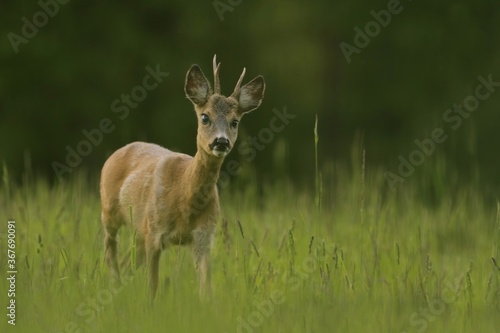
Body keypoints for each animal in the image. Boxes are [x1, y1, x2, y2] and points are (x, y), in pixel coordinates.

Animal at [100, 55, 268, 298]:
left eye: (235, 121)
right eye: (205, 117)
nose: (221, 141)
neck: (184, 198)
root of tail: (116, 153)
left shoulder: (204, 238)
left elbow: (206, 288)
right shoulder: (155, 233)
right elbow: (153, 286)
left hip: (139, 231)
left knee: (125, 262)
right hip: (110, 212)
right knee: (110, 251)